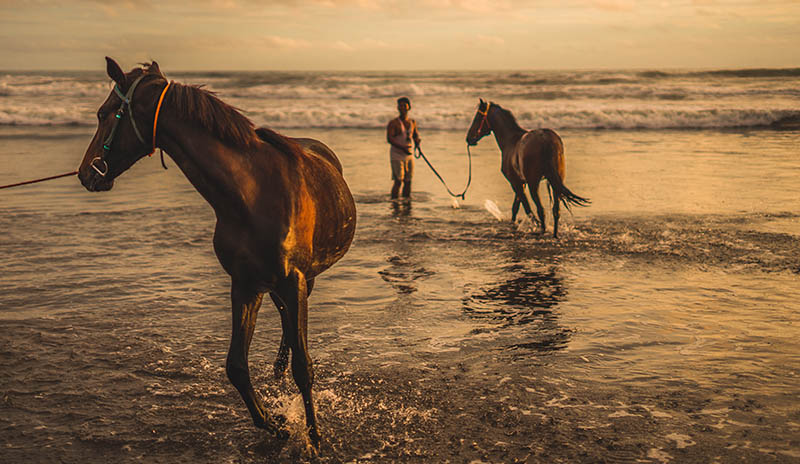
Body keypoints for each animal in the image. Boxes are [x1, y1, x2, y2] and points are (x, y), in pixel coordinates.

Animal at [77, 58, 356, 446]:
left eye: (104, 113)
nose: (85, 173)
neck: (251, 194)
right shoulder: (245, 285)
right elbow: (236, 366)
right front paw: (277, 424)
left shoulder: (293, 280)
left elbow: (304, 366)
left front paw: (313, 439)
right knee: (284, 322)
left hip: (305, 281)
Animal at [466, 97, 592, 236]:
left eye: (477, 118)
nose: (468, 138)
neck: (511, 140)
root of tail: (546, 139)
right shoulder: (521, 183)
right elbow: (516, 207)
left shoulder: (516, 183)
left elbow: (525, 208)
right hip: (555, 182)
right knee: (556, 210)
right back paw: (554, 234)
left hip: (534, 184)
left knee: (540, 210)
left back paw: (543, 230)